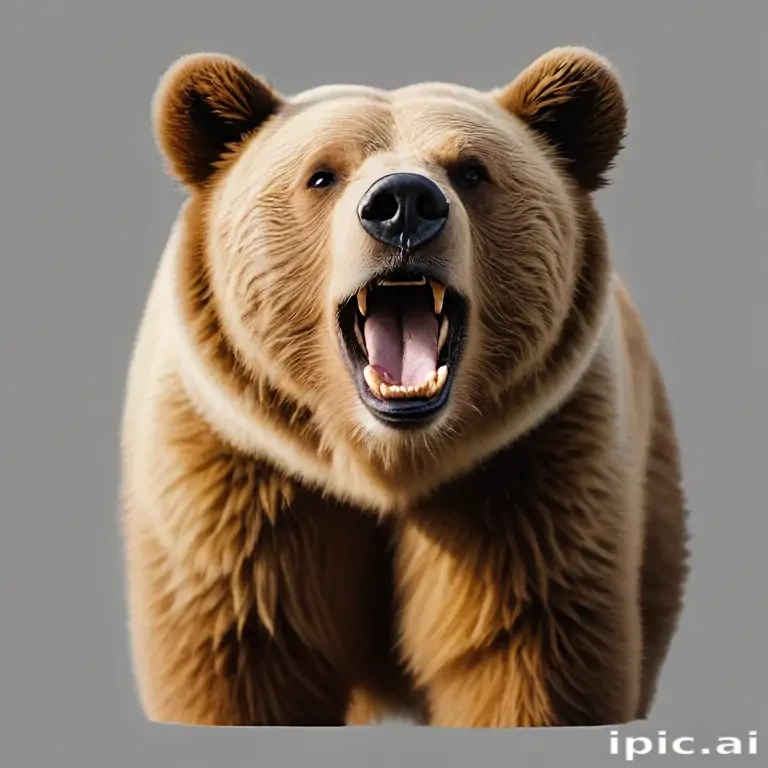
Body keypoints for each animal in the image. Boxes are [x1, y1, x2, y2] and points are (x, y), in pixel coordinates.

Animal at [120, 46, 689, 727]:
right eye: (322, 175)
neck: (386, 462)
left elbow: (526, 646)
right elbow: (238, 650)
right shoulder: (234, 483)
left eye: (471, 170)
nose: (403, 204)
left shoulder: (531, 480)